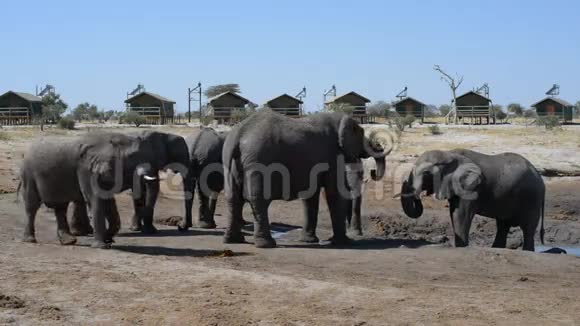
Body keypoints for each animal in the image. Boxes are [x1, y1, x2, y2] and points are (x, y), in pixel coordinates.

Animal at [19, 132, 157, 247]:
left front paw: (109, 239)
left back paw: (69, 241)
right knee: (32, 206)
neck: (109, 142)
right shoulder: (87, 170)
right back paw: (30, 240)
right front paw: (101, 246)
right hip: (28, 174)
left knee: (60, 208)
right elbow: (96, 200)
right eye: (132, 156)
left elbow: (108, 201)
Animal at [222, 111, 390, 248]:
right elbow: (334, 193)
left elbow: (311, 196)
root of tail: (238, 134)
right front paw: (344, 242)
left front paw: (309, 241)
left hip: (229, 162)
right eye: (361, 135)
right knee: (259, 200)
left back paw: (233, 241)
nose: (373, 172)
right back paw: (266, 244)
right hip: (259, 162)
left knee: (233, 199)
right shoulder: (333, 155)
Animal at [398, 149, 544, 251]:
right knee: (503, 225)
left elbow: (461, 215)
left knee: (528, 228)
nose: (419, 196)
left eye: (427, 173)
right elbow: (454, 213)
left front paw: (461, 247)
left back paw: (527, 251)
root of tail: (539, 176)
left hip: (532, 197)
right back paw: (496, 248)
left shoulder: (471, 186)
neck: (449, 154)